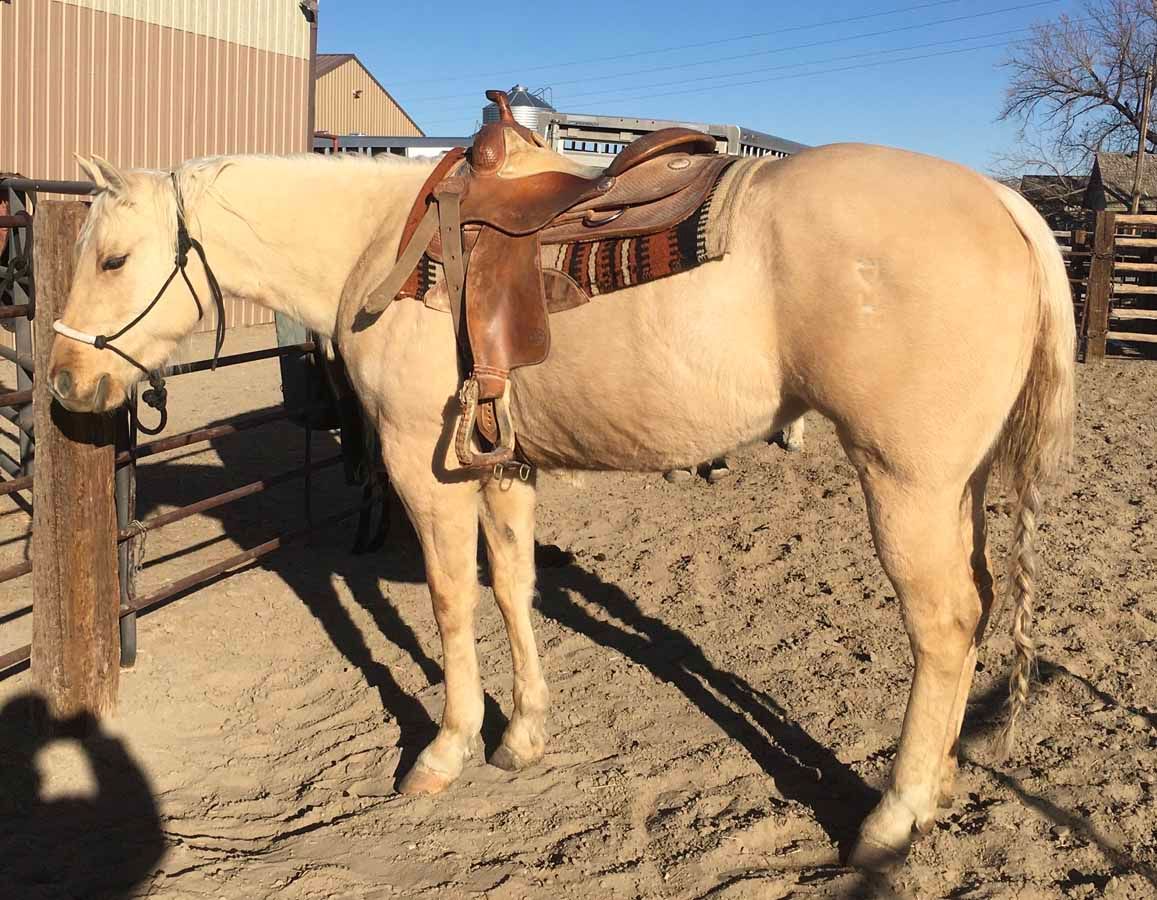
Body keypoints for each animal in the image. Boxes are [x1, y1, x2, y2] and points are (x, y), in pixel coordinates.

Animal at [49, 145, 1074, 869]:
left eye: (114, 257)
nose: (63, 382)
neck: (379, 248)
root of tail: (1007, 203)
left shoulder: (424, 474)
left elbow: (451, 602)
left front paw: (446, 751)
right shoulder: (502, 470)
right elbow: (511, 589)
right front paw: (524, 735)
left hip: (906, 486)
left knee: (943, 629)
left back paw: (892, 817)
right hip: (957, 489)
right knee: (977, 614)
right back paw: (938, 782)